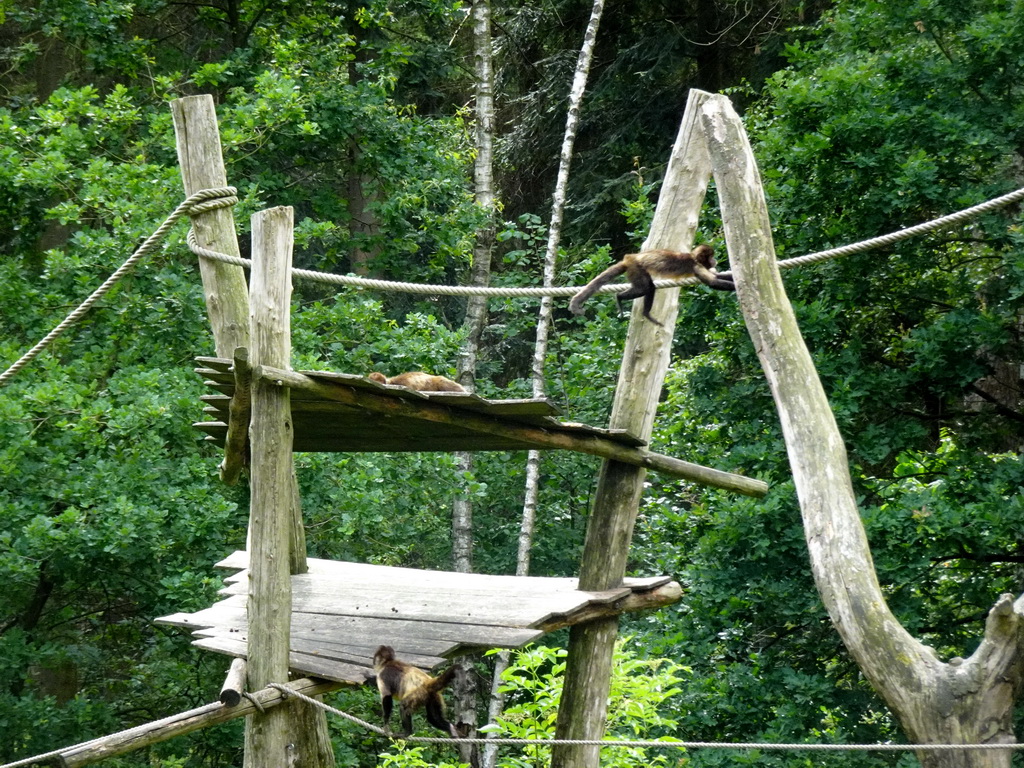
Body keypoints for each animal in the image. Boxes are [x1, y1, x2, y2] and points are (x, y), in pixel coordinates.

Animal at [569, 244, 737, 325]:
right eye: (711, 257)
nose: (715, 261)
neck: (693, 257)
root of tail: (629, 259)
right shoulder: (696, 266)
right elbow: (713, 282)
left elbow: (717, 277)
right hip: (636, 267)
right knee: (646, 287)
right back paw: (620, 298)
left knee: (650, 287)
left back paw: (644, 313)